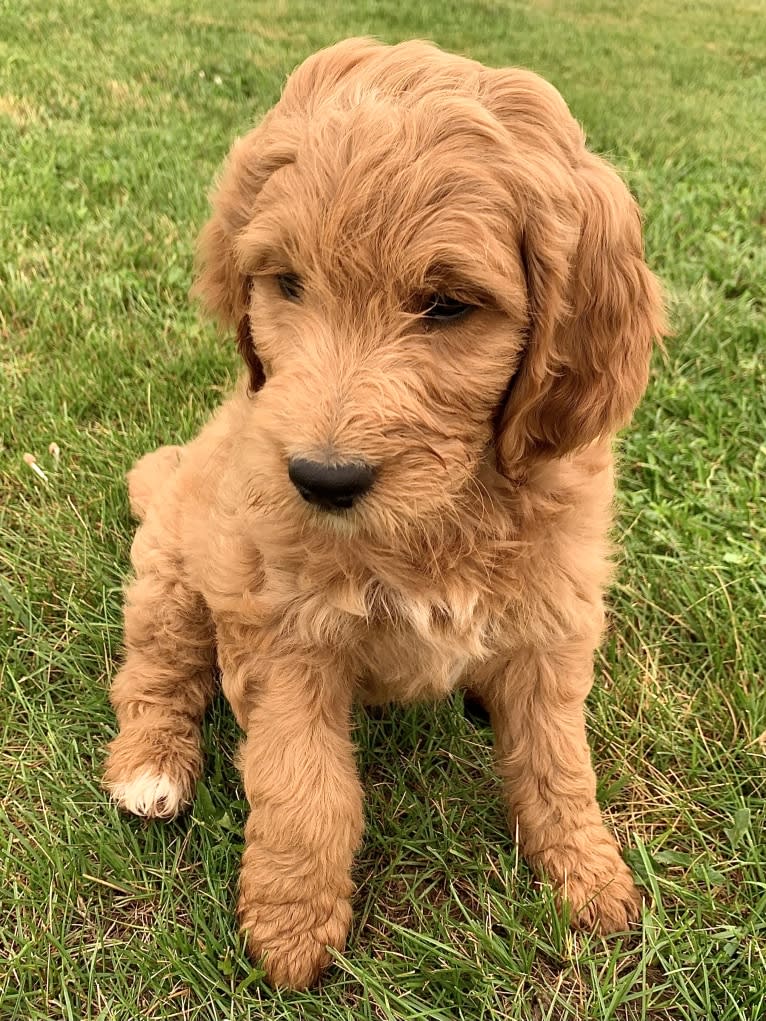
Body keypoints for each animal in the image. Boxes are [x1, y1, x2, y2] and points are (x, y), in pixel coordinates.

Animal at [105, 39, 669, 988]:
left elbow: (558, 757)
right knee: (155, 671)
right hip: (173, 572)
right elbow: (305, 785)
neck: (442, 514)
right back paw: (150, 769)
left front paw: (587, 873)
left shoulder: (555, 611)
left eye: (446, 304)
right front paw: (292, 926)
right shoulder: (283, 628)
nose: (320, 478)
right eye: (288, 283)